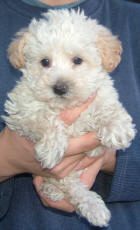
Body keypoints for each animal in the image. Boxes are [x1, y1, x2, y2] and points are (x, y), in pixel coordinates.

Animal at [3, 9, 136, 228]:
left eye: (77, 60)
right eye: (45, 62)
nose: (60, 88)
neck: (65, 106)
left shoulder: (100, 94)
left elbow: (106, 105)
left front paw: (117, 128)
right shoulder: (22, 110)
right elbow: (44, 118)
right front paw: (51, 147)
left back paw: (91, 207)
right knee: (69, 186)